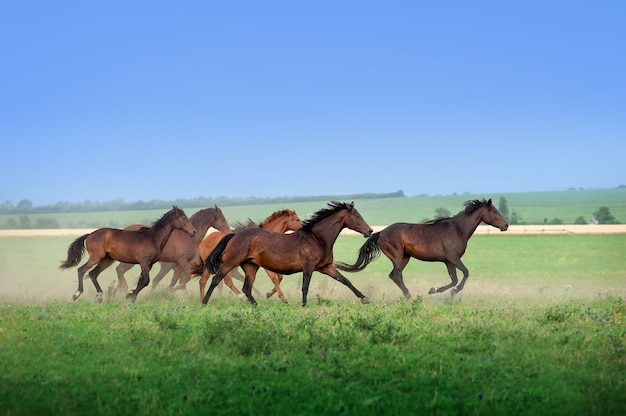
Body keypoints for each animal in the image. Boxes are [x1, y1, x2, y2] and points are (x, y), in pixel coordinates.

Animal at [59, 205, 195, 302]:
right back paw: (76, 294)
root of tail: (90, 235)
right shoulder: (143, 261)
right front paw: (130, 296)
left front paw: (131, 295)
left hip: (107, 260)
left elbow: (141, 281)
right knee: (81, 270)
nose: (193, 231)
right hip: (96, 257)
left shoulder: (149, 264)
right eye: (183, 218)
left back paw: (99, 297)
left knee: (93, 274)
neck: (152, 238)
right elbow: (145, 280)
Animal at [202, 203, 372, 308]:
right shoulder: (308, 267)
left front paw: (365, 299)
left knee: (246, 288)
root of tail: (234, 235)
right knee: (216, 280)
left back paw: (257, 306)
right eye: (357, 215)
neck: (317, 238)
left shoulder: (326, 267)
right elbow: (304, 286)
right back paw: (204, 303)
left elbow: (346, 281)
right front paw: (304, 306)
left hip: (251, 267)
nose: (370, 231)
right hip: (230, 263)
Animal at [336, 200, 508, 298]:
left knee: (393, 276)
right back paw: (408, 295)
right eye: (494, 211)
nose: (506, 225)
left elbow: (454, 279)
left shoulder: (448, 261)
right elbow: (465, 273)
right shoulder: (453, 258)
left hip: (405, 257)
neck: (458, 229)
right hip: (397, 256)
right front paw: (451, 293)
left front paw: (433, 290)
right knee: (397, 275)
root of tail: (381, 232)